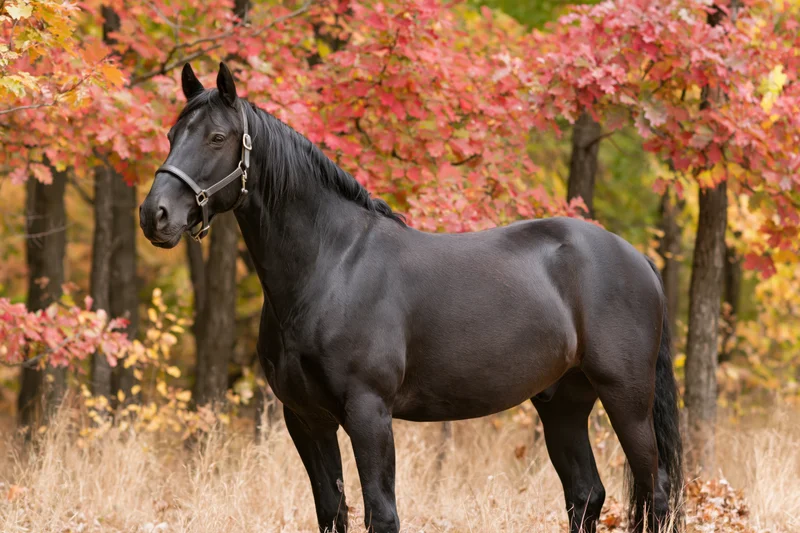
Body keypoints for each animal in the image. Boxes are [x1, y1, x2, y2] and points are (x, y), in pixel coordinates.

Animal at [139, 62, 683, 533]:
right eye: (171, 136)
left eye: (216, 137)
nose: (155, 215)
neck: (331, 266)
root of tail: (636, 258)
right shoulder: (306, 419)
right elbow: (331, 512)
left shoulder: (369, 413)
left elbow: (382, 515)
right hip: (563, 402)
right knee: (586, 494)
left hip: (626, 398)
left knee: (656, 493)